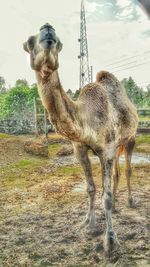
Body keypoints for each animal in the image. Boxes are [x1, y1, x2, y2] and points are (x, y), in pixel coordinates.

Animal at [23, 23, 138, 253]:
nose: (47, 29)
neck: (88, 117)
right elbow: (91, 188)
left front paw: (110, 240)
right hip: (117, 146)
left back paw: (129, 201)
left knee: (128, 170)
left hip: (130, 139)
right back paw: (118, 206)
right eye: (29, 42)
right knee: (117, 173)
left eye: (58, 43)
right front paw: (89, 224)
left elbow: (106, 196)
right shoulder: (80, 149)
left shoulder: (106, 149)